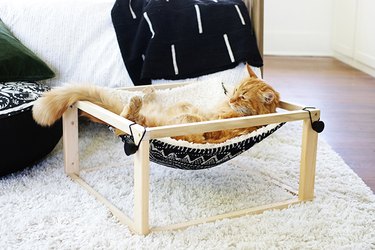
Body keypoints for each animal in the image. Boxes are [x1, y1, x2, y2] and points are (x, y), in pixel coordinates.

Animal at [31, 64, 280, 143]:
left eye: (243, 96)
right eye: (236, 90)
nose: (230, 98)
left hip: (149, 124)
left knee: (127, 121)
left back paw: (138, 100)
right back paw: (147, 92)